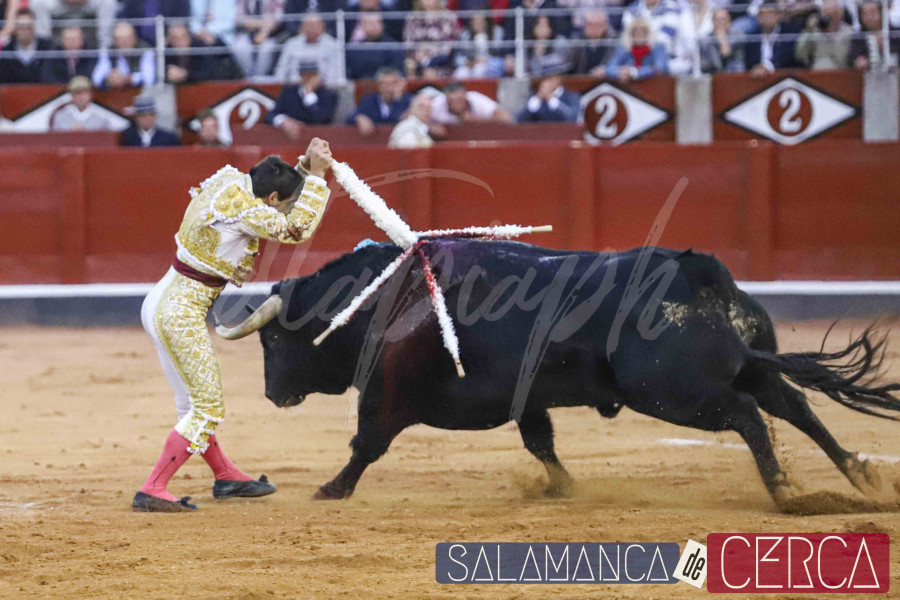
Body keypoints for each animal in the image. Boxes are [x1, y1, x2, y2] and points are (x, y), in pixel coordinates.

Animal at [248, 241, 900, 504]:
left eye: (274, 338)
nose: (270, 393)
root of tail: (700, 275)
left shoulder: (387, 394)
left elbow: (365, 443)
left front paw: (331, 489)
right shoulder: (525, 398)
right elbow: (542, 443)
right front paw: (562, 488)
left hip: (673, 393)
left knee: (747, 416)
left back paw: (786, 490)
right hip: (745, 369)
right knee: (795, 406)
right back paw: (860, 475)